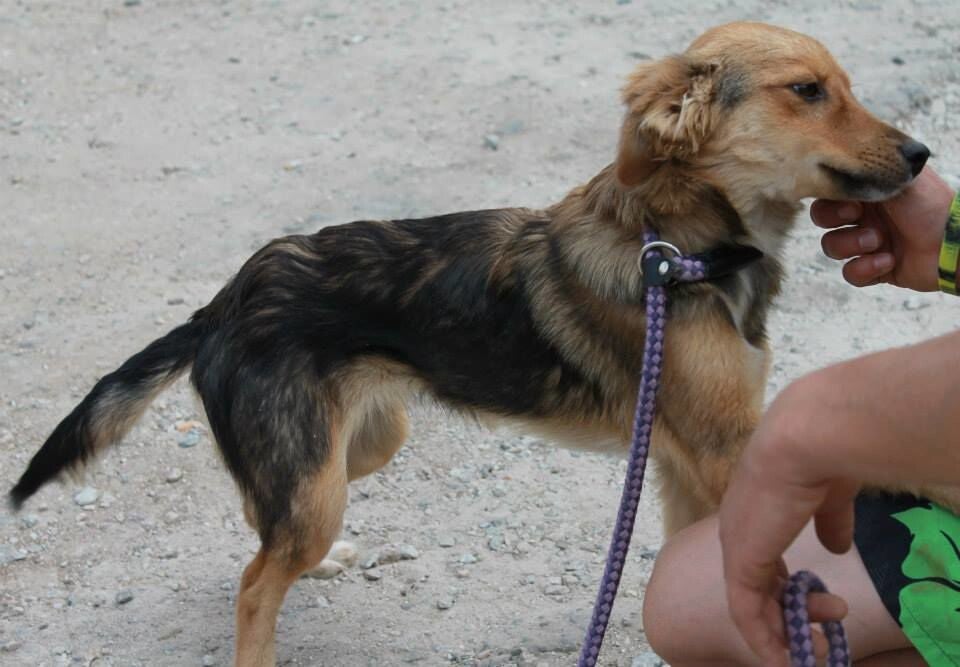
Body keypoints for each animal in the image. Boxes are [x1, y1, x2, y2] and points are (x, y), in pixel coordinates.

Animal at [9, 21, 936, 667]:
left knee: (262, 525)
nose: (924, 154)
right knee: (252, 582)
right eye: (807, 90)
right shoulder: (721, 452)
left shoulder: (680, 460)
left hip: (361, 447)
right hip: (321, 483)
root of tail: (224, 303)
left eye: (845, 85)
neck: (683, 241)